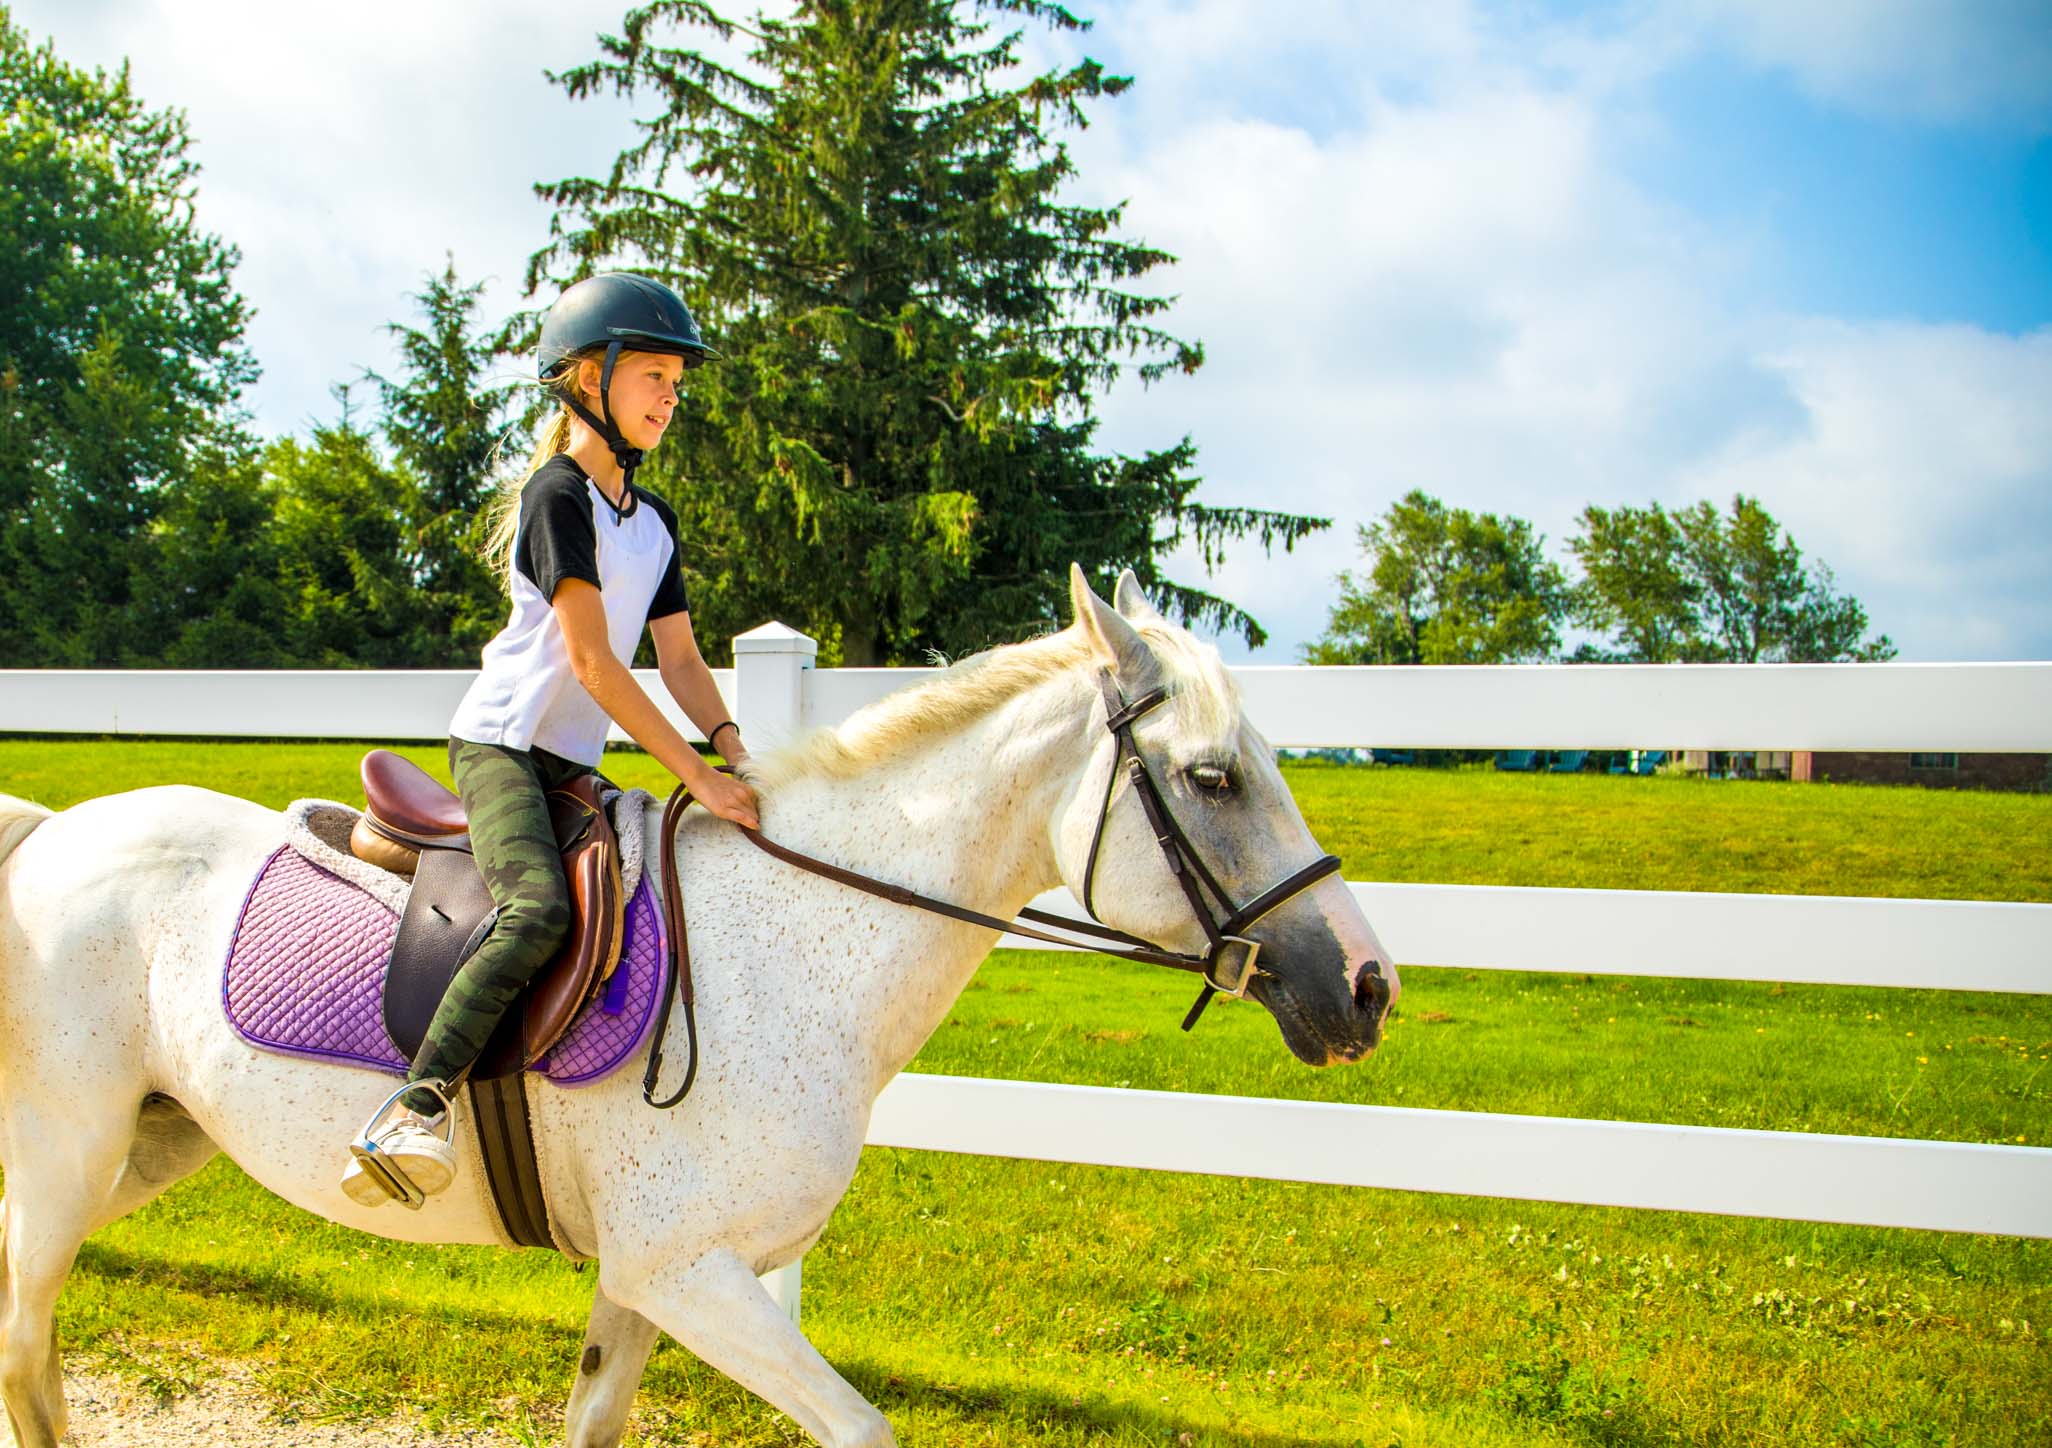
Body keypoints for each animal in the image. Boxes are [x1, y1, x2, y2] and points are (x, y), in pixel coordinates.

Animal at [0, 570, 1395, 1435]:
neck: (795, 941)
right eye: (1212, 777)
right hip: (70, 1151)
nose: (1367, 985)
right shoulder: (691, 1272)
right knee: (26, 1346)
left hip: (150, 1141)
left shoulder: (646, 1278)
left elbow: (595, 1421)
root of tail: (52, 831)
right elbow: (860, 1426)